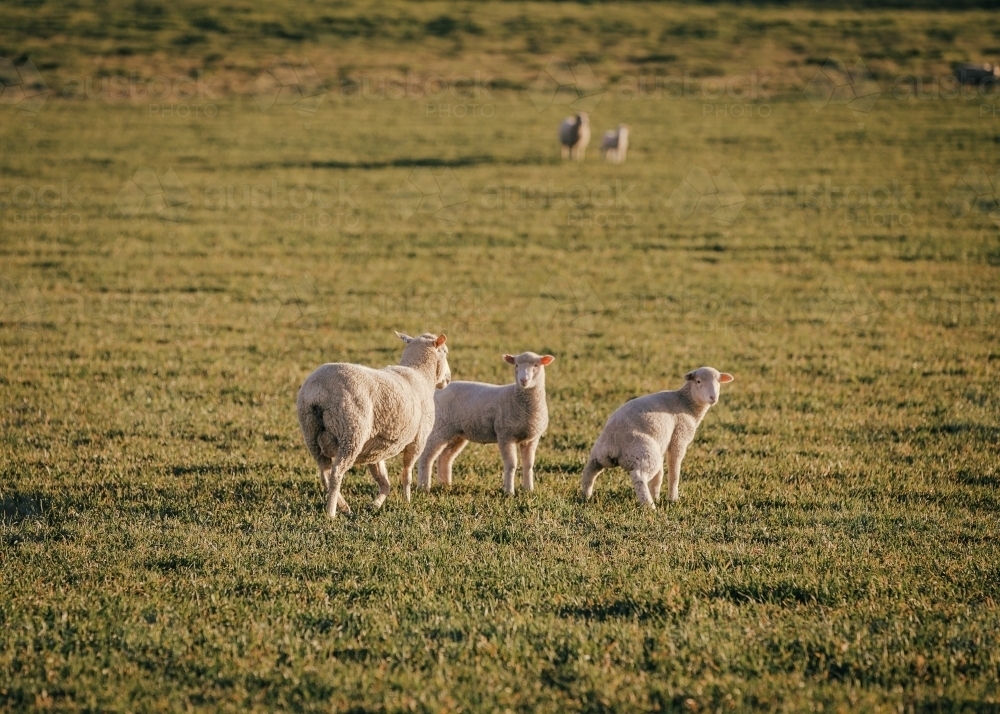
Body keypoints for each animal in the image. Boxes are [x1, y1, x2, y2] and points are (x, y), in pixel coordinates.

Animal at [294, 328, 452, 516]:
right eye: (445, 352)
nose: (448, 379)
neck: (420, 373)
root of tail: (319, 392)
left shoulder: (376, 449)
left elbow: (383, 479)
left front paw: (375, 504)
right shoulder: (417, 441)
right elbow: (406, 475)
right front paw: (407, 501)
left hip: (311, 433)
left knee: (324, 473)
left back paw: (344, 507)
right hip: (351, 432)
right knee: (336, 473)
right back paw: (331, 513)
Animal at [414, 350, 556, 496]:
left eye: (536, 365)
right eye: (516, 365)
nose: (523, 380)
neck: (517, 398)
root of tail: (437, 391)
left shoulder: (531, 439)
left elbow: (529, 465)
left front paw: (528, 489)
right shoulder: (505, 435)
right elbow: (511, 465)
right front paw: (509, 492)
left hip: (456, 433)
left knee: (445, 457)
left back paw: (446, 485)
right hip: (439, 427)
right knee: (426, 456)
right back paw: (424, 486)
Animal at [580, 368, 736, 506]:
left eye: (719, 382)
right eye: (698, 381)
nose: (713, 397)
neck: (686, 403)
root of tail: (615, 442)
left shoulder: (662, 444)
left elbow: (659, 477)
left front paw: (656, 495)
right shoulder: (679, 438)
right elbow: (674, 472)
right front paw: (673, 499)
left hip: (600, 453)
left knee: (589, 471)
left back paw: (585, 496)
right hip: (644, 452)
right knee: (639, 477)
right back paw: (649, 506)